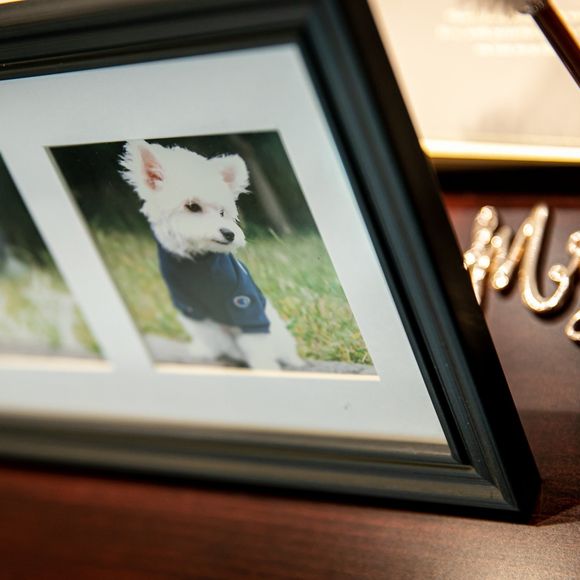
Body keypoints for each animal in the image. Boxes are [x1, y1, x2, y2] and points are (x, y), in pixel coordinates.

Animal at [120, 140, 302, 370]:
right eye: (192, 206)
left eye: (222, 212)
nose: (230, 234)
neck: (196, 260)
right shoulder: (189, 306)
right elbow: (208, 333)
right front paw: (209, 352)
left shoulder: (243, 299)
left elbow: (255, 341)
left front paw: (265, 367)